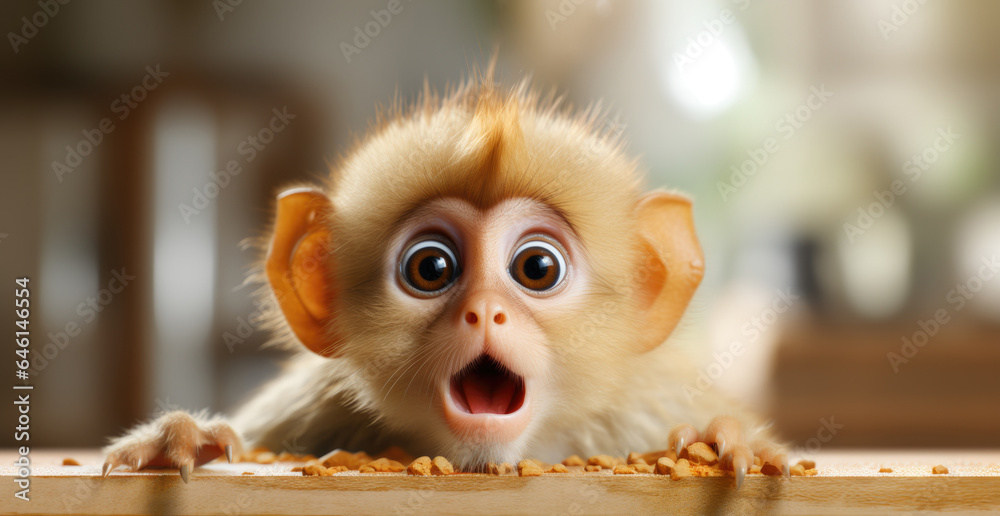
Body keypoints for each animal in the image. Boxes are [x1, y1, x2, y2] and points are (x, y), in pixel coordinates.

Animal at [102, 63, 787, 489]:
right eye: (431, 268)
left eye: (537, 268)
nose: (484, 310)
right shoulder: (306, 413)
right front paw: (183, 436)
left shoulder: (642, 410)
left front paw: (722, 441)